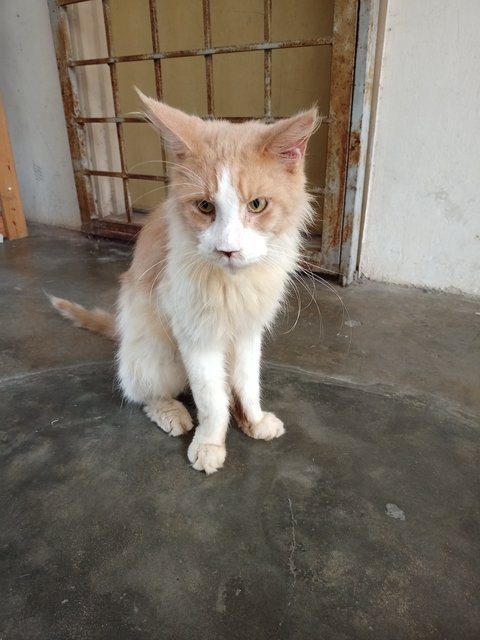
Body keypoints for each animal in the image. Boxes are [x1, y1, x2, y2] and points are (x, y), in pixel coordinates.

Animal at [51, 90, 318, 472]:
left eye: (256, 205)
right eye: (205, 207)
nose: (228, 250)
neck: (233, 285)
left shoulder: (249, 333)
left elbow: (248, 384)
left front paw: (252, 419)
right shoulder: (197, 338)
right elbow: (211, 400)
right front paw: (209, 443)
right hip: (158, 358)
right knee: (141, 392)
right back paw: (172, 413)